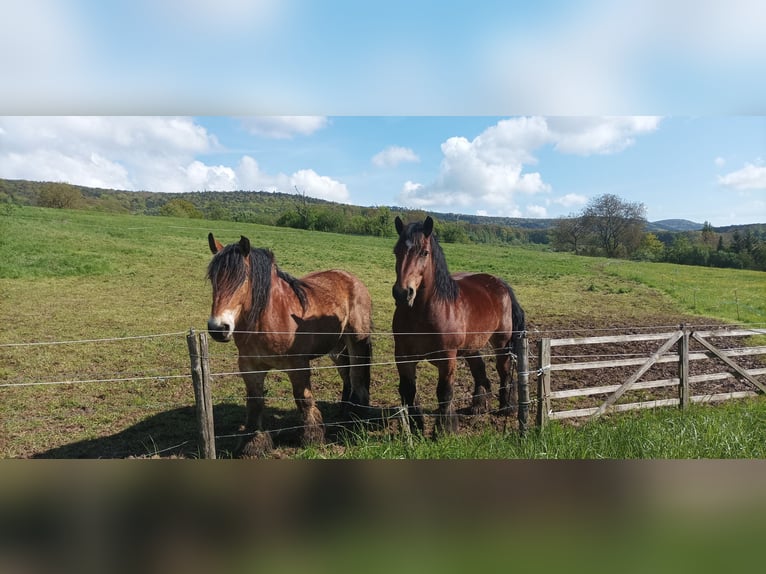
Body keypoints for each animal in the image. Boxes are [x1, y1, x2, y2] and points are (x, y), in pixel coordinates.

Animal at [207, 234, 376, 460]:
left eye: (243, 279)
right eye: (213, 279)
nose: (218, 328)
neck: (270, 318)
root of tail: (351, 278)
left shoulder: (298, 365)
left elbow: (303, 399)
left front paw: (312, 437)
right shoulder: (250, 367)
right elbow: (255, 403)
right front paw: (253, 444)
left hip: (356, 340)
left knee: (358, 376)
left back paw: (356, 416)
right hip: (337, 348)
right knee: (347, 375)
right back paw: (344, 410)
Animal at [392, 218, 524, 434]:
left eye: (424, 252)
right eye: (396, 251)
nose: (403, 293)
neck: (423, 313)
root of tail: (500, 284)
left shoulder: (447, 358)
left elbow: (444, 392)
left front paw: (445, 429)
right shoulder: (403, 357)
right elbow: (409, 391)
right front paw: (416, 426)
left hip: (502, 342)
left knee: (503, 369)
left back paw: (507, 407)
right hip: (471, 345)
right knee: (479, 368)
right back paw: (478, 405)